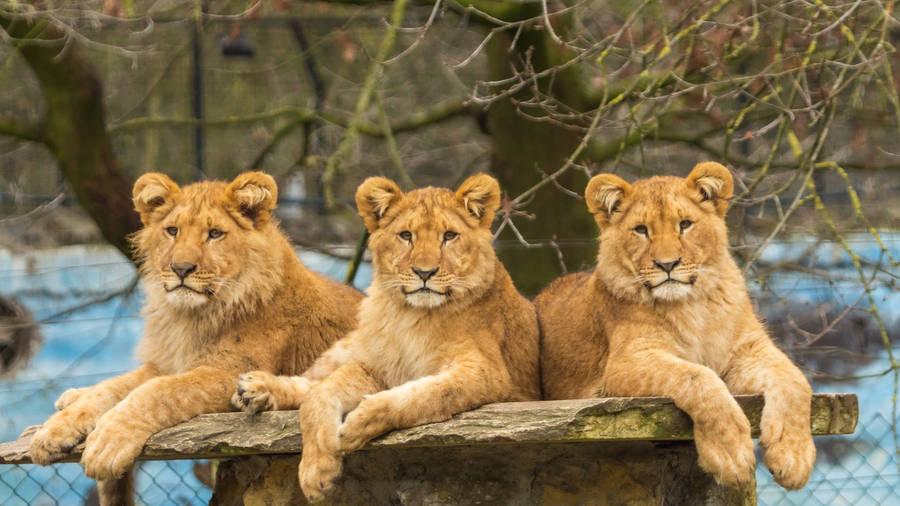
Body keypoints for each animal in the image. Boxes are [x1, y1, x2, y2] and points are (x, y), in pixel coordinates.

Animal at [28, 171, 362, 505]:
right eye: (172, 231)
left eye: (214, 234)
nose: (181, 268)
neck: (190, 318)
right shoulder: (164, 364)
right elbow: (113, 388)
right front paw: (53, 432)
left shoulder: (228, 373)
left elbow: (158, 392)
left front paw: (107, 442)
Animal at [232, 173, 541, 501]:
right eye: (406, 235)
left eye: (449, 236)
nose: (424, 272)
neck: (412, 317)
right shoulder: (373, 367)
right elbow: (319, 395)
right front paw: (317, 472)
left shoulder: (488, 373)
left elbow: (425, 394)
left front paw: (359, 423)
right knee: (311, 380)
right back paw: (254, 389)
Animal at [535, 162, 815, 490]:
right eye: (641, 230)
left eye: (685, 224)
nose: (667, 264)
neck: (692, 305)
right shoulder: (625, 362)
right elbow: (698, 378)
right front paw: (730, 456)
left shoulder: (748, 350)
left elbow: (795, 379)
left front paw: (793, 457)